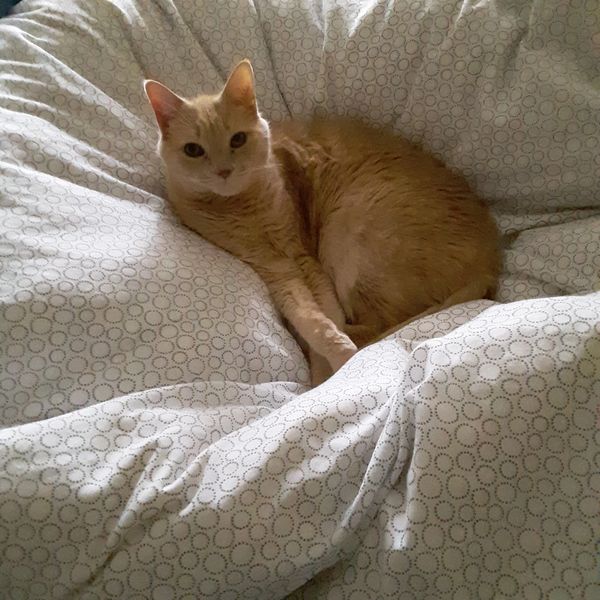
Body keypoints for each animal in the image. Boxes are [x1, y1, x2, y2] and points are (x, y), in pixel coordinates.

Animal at [143, 57, 500, 384]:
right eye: (193, 150)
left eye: (237, 140)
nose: (223, 171)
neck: (243, 209)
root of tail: (491, 259)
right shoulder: (275, 270)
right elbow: (309, 316)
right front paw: (326, 358)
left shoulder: (304, 256)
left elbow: (329, 317)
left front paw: (329, 369)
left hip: (348, 236)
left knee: (376, 327)